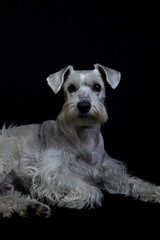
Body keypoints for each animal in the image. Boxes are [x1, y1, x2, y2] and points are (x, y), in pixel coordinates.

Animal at [0, 63, 160, 218]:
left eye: (97, 86)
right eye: (71, 88)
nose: (84, 106)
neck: (85, 136)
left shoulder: (109, 171)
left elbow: (132, 181)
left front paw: (154, 191)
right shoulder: (52, 172)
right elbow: (91, 189)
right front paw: (68, 199)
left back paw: (31, 207)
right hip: (5, 158)